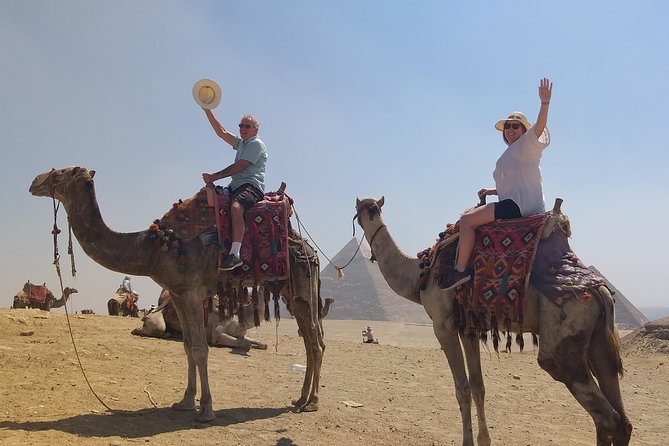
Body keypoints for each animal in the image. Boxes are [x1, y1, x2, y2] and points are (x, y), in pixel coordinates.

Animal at [29, 166, 324, 422]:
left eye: (63, 172)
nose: (34, 181)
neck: (153, 247)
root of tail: (309, 247)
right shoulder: (178, 294)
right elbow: (187, 347)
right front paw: (185, 401)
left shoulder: (191, 292)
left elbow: (200, 349)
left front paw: (206, 410)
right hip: (291, 292)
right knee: (310, 339)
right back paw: (300, 399)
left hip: (302, 284)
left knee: (315, 341)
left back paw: (312, 402)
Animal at [355, 197, 632, 446]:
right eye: (366, 209)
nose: (369, 214)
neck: (419, 274)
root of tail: (600, 291)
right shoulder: (467, 327)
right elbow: (478, 386)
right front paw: (483, 440)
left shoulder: (443, 326)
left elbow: (462, 388)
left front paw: (467, 441)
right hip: (598, 341)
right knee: (622, 418)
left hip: (564, 337)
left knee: (606, 416)